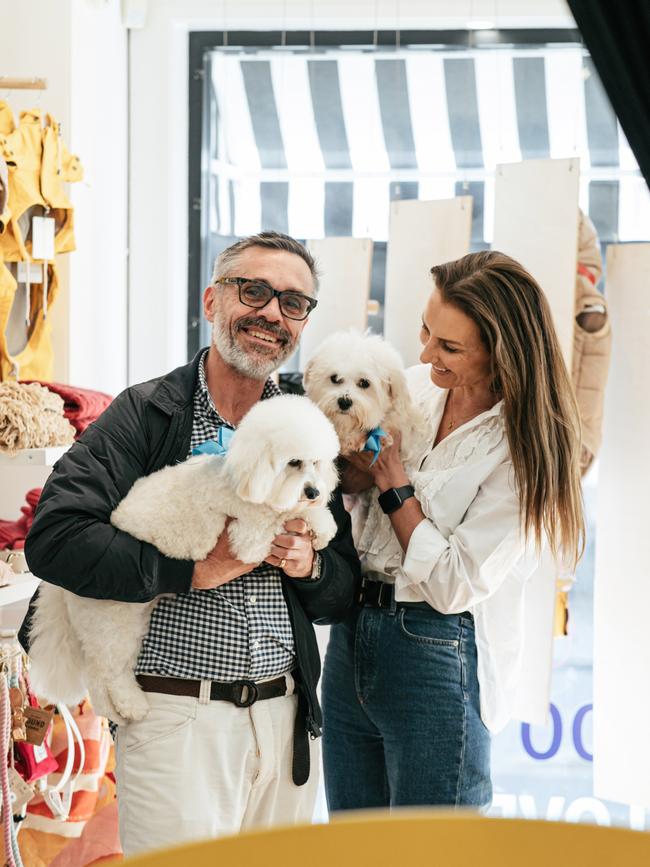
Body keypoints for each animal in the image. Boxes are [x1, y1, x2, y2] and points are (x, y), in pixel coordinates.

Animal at [26, 396, 340, 724]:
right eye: (294, 463)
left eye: (317, 463)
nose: (314, 491)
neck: (241, 477)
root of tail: (61, 588)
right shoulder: (248, 535)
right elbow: (276, 518)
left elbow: (300, 514)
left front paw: (321, 526)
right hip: (111, 620)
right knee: (104, 674)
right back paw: (131, 706)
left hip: (130, 621)